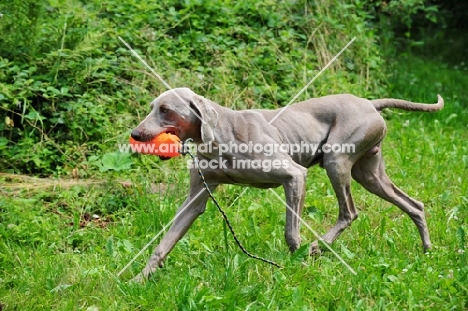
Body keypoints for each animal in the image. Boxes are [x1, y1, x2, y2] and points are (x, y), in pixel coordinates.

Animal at [130, 87, 444, 280]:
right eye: (151, 107)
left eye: (165, 109)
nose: (135, 133)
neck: (219, 135)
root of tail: (369, 103)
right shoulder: (195, 199)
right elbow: (162, 245)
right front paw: (139, 279)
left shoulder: (294, 176)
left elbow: (291, 233)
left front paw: (298, 266)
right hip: (369, 174)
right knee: (414, 204)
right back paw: (427, 250)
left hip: (337, 160)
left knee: (349, 212)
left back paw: (318, 247)